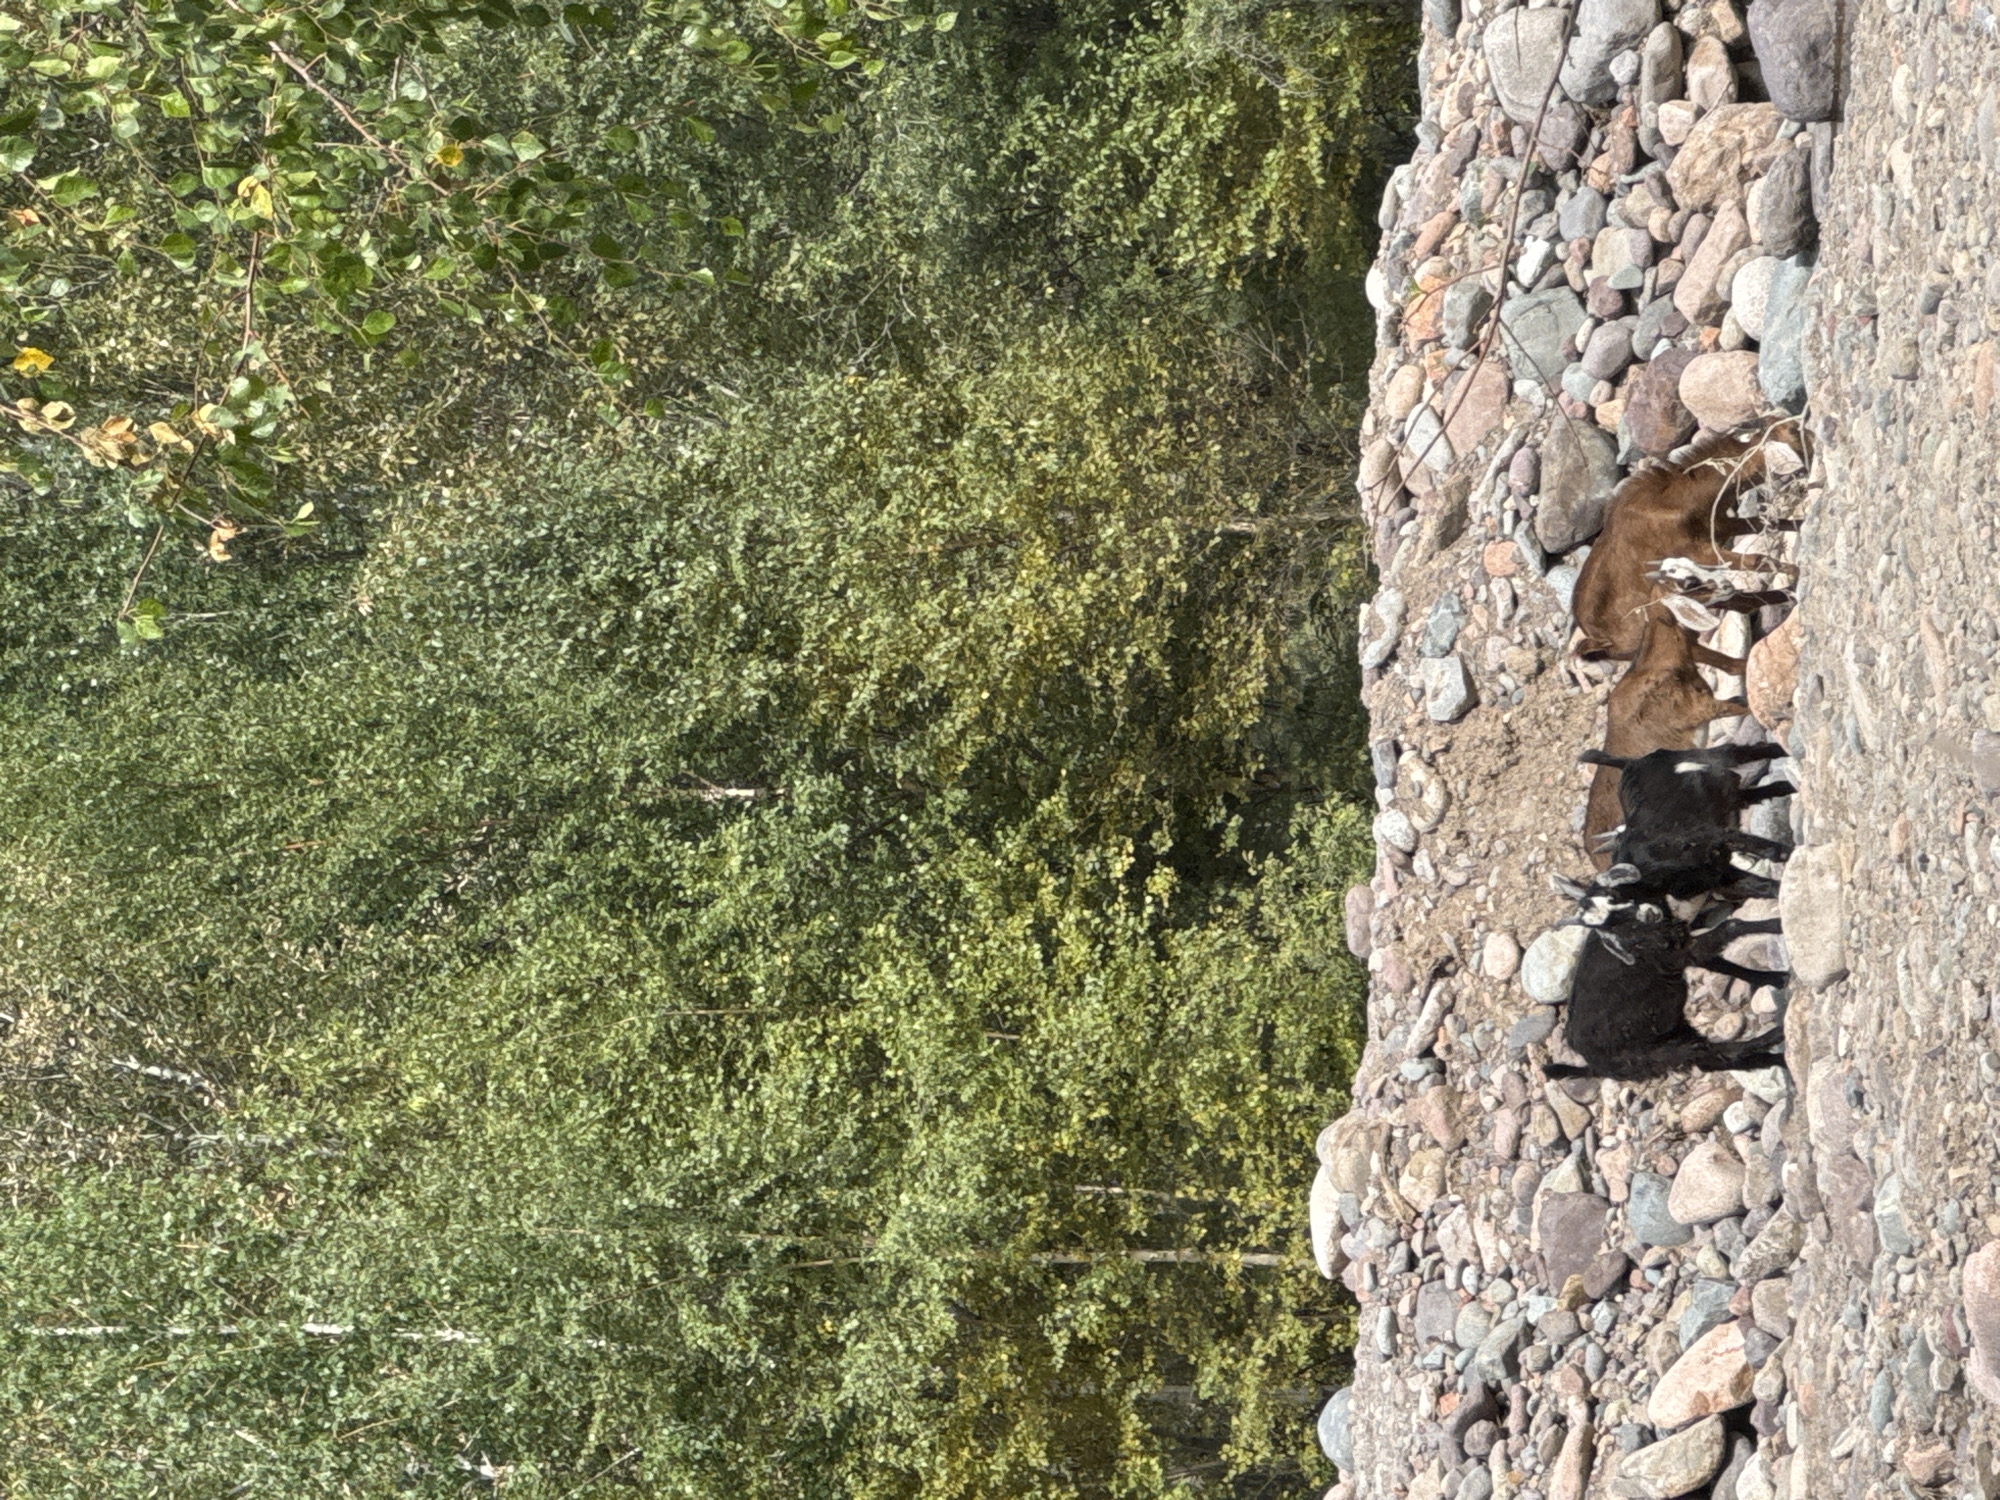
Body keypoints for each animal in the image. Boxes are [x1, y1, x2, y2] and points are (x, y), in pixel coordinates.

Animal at [1542, 900, 1787, 1081]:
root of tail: (1592, 1066)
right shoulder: (1673, 954)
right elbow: (1731, 926)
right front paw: (1778, 924)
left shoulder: (1680, 948)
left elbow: (1724, 964)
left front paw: (1778, 978)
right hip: (1658, 1052)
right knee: (1720, 1052)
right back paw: (1777, 1036)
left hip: (1672, 1035)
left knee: (1713, 1059)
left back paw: (1781, 1059)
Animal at [1571, 425, 1802, 668]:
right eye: (1793, 434)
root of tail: (1599, 644)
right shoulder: (1696, 551)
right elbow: (1755, 559)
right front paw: (1799, 572)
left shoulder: (1722, 526)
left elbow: (1769, 524)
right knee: (1725, 662)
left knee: (1740, 603)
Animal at [1576, 743, 1795, 900]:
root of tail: (1629, 763)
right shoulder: (1718, 875)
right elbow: (1761, 886)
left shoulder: (1713, 836)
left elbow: (1765, 848)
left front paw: (1787, 854)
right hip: (1728, 798)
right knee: (1756, 792)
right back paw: (1787, 786)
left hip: (1711, 758)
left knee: (1743, 750)